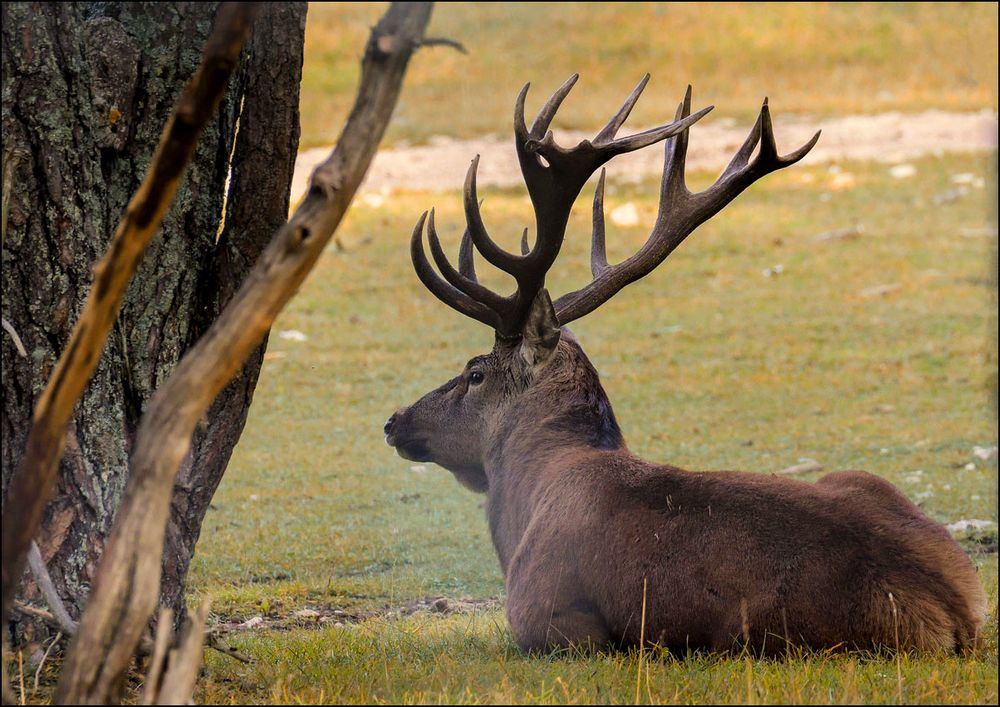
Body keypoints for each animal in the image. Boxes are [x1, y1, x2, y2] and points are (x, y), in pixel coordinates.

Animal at [382, 74, 984, 656]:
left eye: (474, 372)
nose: (395, 421)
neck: (523, 507)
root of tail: (955, 609)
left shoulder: (547, 617)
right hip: (863, 480)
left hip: (759, 635)